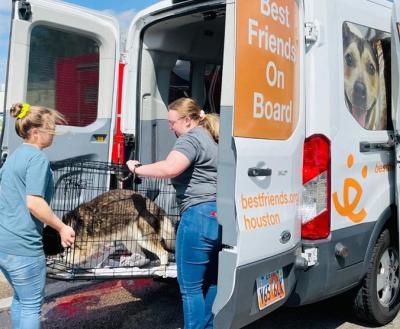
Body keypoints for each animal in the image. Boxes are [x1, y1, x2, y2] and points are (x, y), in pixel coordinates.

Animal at [43, 188, 176, 266]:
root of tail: (153, 204)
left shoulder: (83, 250)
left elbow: (67, 258)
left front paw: (57, 259)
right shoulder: (94, 246)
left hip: (143, 237)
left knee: (163, 253)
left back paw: (162, 267)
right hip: (129, 240)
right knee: (143, 255)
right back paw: (132, 262)